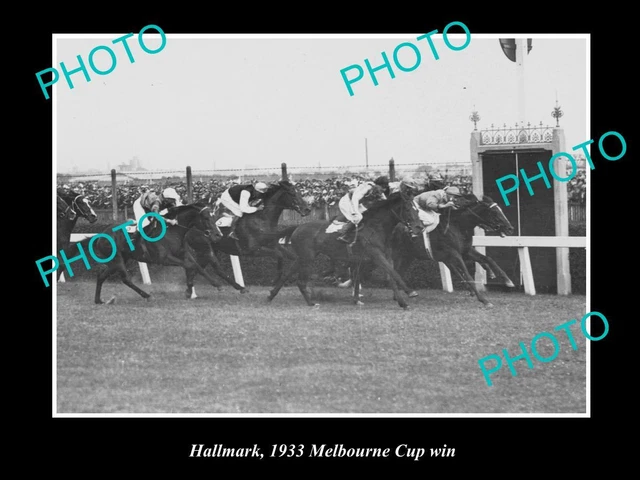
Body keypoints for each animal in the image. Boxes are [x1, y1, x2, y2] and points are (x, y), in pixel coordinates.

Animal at [268, 186, 424, 310]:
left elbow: (391, 276)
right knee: (300, 281)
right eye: (408, 209)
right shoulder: (376, 255)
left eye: (417, 209)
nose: (419, 227)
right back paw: (311, 303)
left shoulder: (385, 256)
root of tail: (297, 227)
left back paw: (271, 296)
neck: (376, 228)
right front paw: (411, 292)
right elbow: (394, 273)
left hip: (303, 257)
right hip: (307, 258)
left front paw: (402, 302)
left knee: (286, 274)